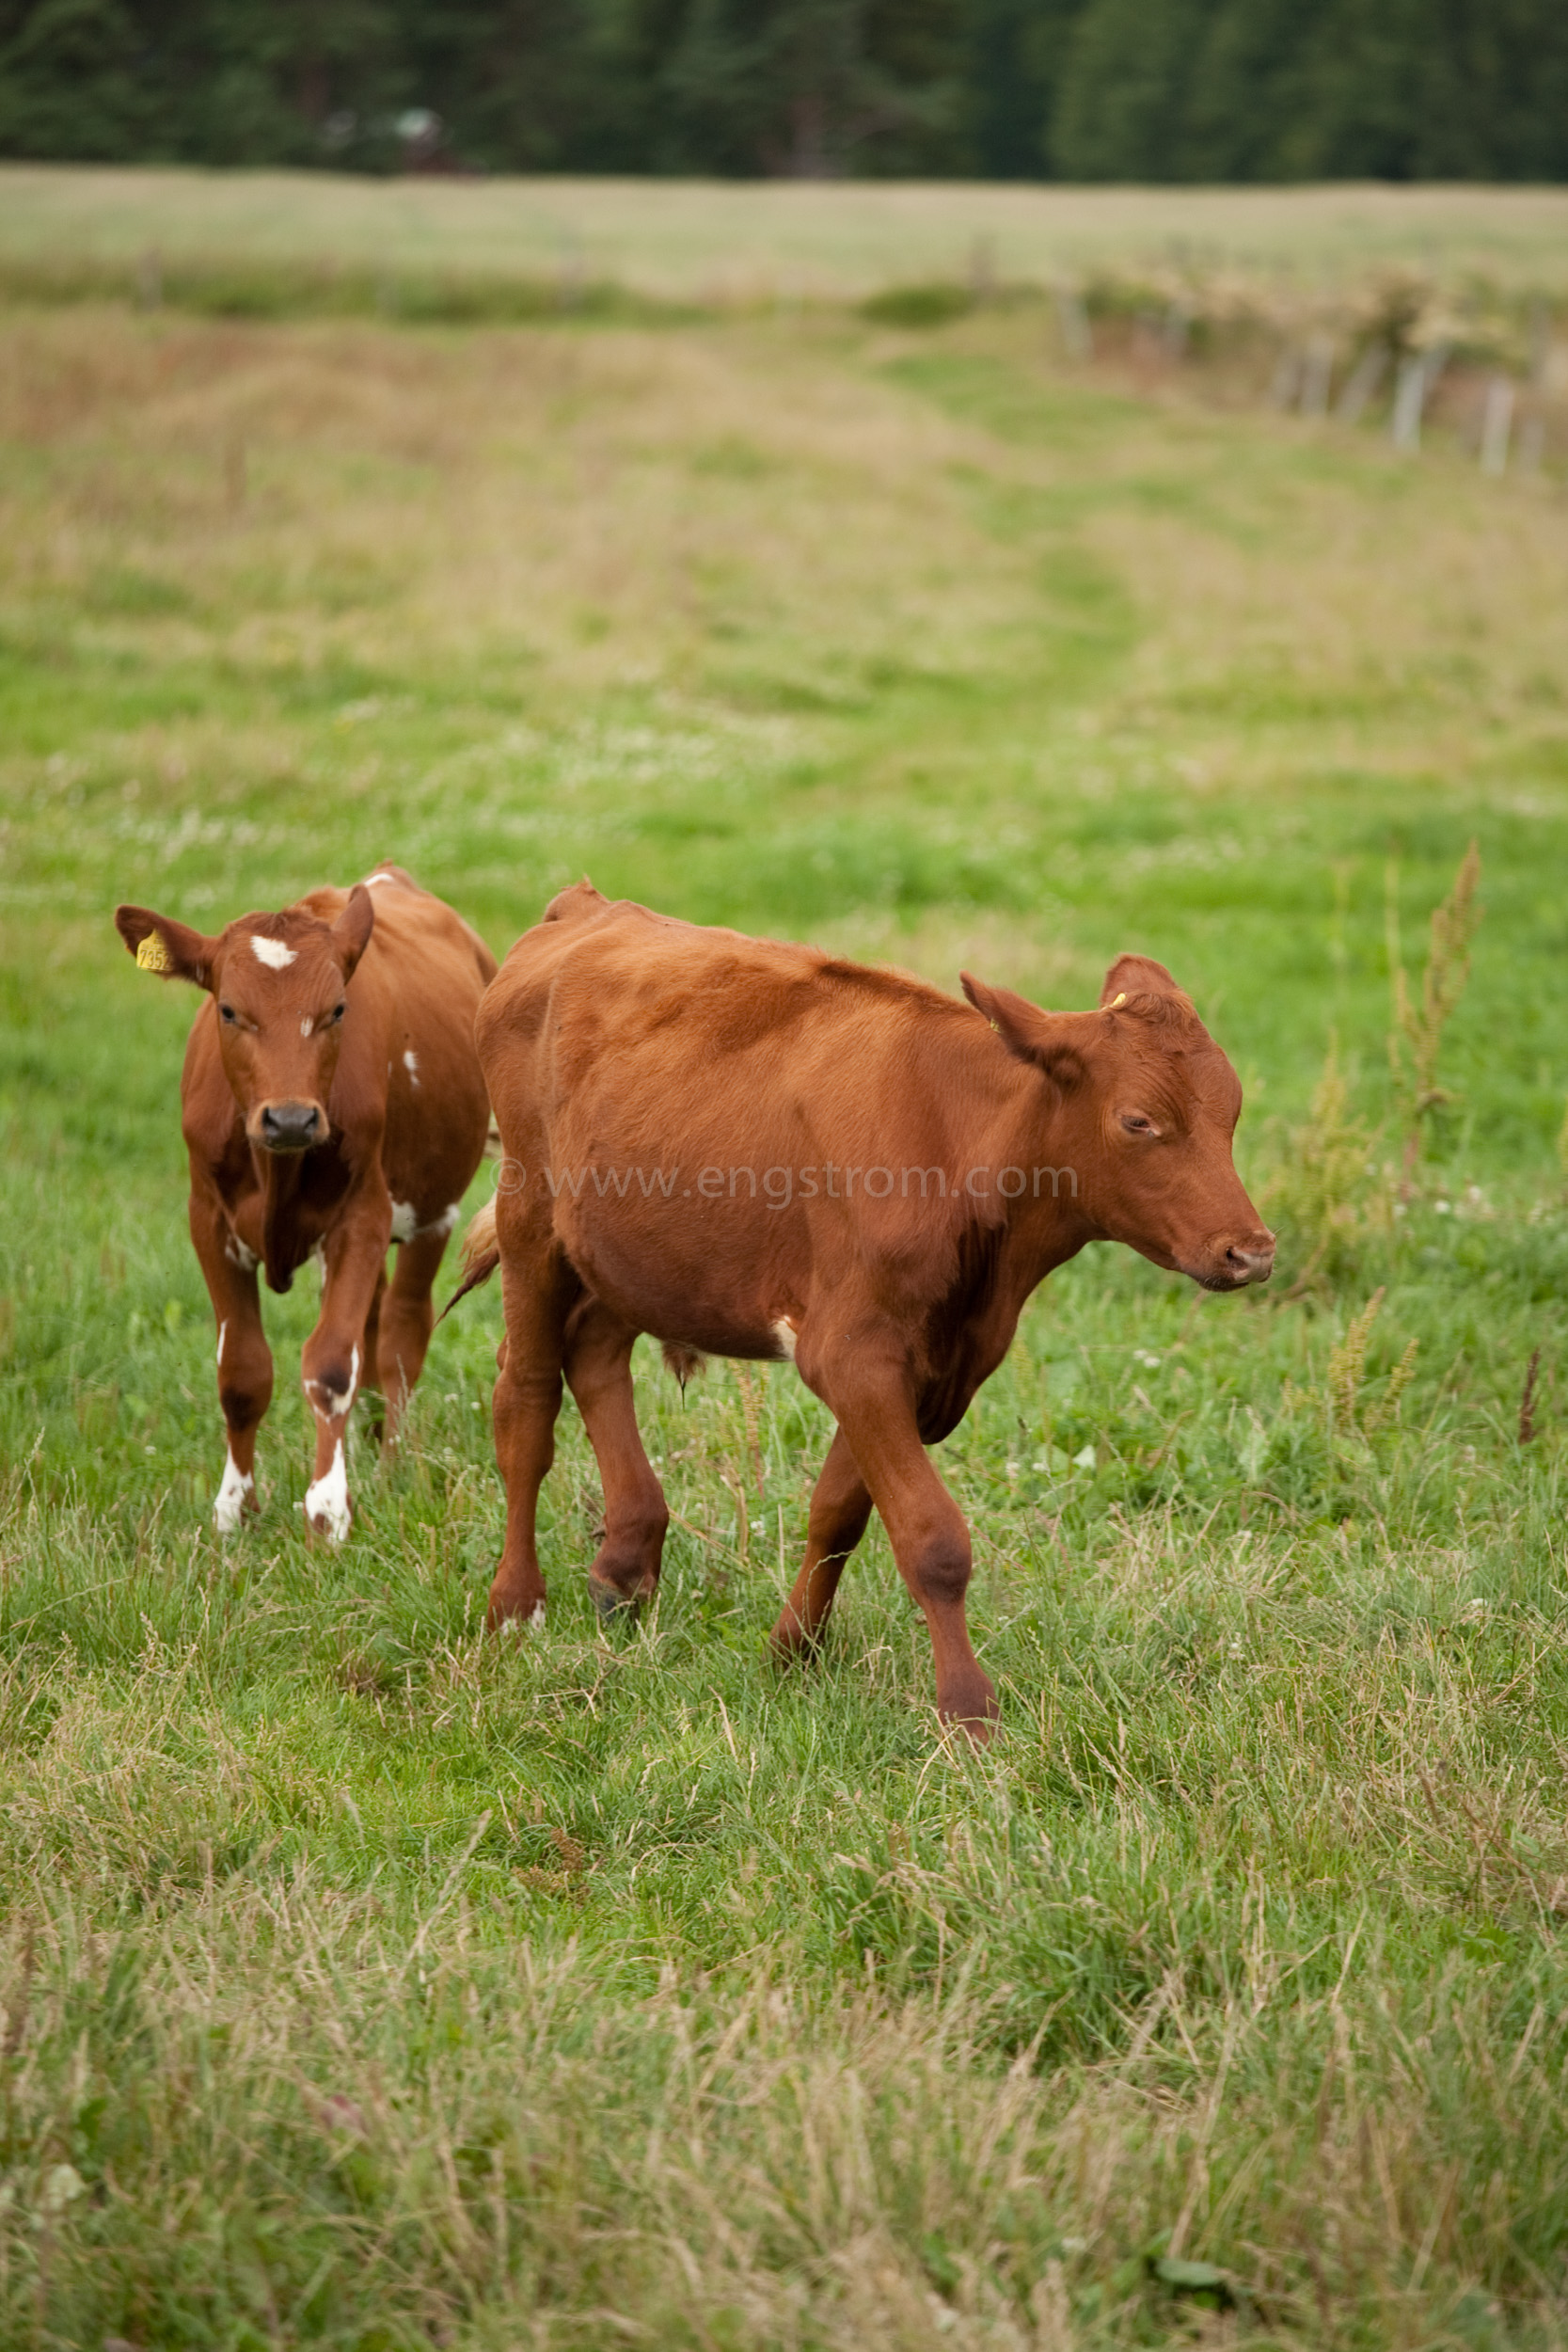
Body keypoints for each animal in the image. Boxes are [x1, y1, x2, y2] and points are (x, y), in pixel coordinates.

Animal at [116, 866, 493, 1543]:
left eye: (336, 1009)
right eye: (229, 1009)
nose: (290, 1118)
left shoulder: (362, 1219)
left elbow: (332, 1366)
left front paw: (328, 1511)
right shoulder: (208, 1223)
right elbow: (241, 1374)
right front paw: (234, 1511)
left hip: (432, 1215)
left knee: (401, 1335)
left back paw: (391, 1464)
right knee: (374, 1326)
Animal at [453, 884, 1278, 1731]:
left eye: (1232, 1111)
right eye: (1138, 1121)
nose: (1249, 1251)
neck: (955, 1146)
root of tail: (587, 907)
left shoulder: (917, 1361)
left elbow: (839, 1513)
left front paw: (791, 1651)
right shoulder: (855, 1351)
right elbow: (930, 1537)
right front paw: (967, 1711)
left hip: (633, 1248)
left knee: (593, 1353)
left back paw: (623, 1567)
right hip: (531, 1216)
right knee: (525, 1400)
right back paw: (514, 1605)